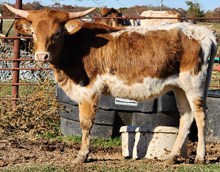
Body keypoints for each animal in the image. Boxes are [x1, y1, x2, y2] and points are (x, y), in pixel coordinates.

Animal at [5, 3, 217, 165]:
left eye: (57, 32)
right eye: (33, 32)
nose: (42, 56)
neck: (77, 45)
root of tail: (204, 32)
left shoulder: (89, 90)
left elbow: (85, 123)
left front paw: (82, 156)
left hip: (194, 84)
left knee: (200, 116)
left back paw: (200, 157)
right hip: (179, 87)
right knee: (186, 116)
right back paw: (171, 157)